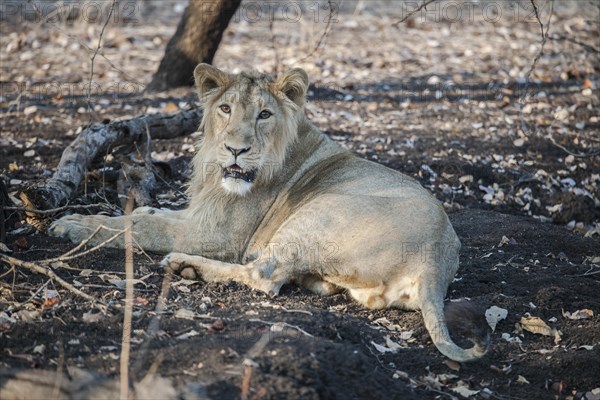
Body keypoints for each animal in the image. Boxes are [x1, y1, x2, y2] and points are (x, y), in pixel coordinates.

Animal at [49, 63, 490, 362]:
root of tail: (436, 261)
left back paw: (184, 266)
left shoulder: (217, 236)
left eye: (264, 114)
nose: (236, 149)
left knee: (264, 276)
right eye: (226, 109)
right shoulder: (199, 217)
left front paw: (72, 224)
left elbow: (138, 226)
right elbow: (154, 214)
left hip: (315, 215)